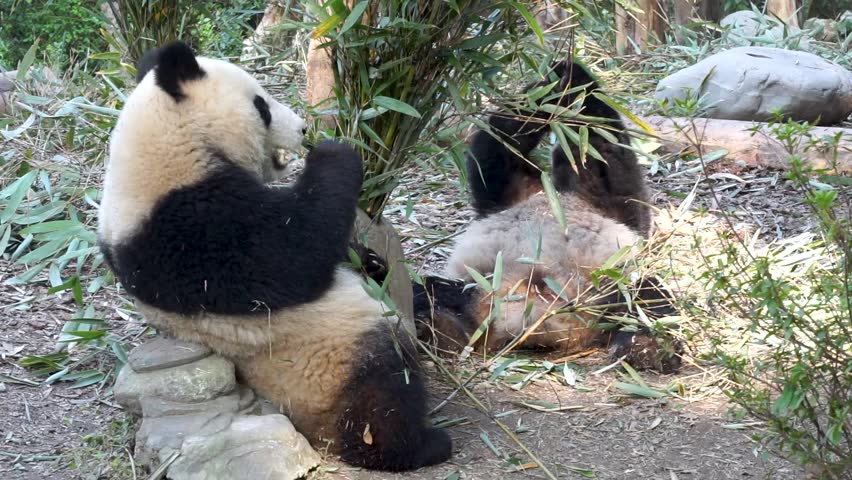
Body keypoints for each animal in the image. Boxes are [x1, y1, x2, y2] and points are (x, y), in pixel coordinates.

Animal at [97, 41, 451, 471]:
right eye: (261, 105)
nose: (303, 129)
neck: (170, 145)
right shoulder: (184, 228)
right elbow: (291, 255)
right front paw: (335, 152)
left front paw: (371, 261)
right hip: (331, 359)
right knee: (383, 392)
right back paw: (419, 444)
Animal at [414, 59, 681, 373]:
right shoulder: (516, 190)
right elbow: (498, 145)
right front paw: (553, 82)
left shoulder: (602, 196)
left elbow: (605, 148)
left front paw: (568, 77)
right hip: (478, 288)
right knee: (424, 291)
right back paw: (435, 328)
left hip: (607, 287)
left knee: (646, 298)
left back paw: (647, 348)